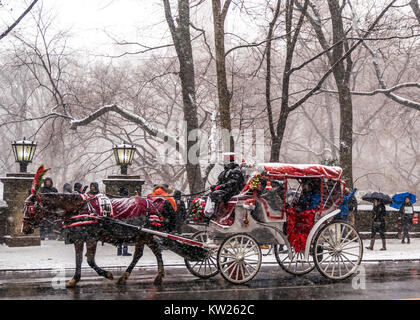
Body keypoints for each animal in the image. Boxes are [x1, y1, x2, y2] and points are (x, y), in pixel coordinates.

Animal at [20, 191, 172, 288]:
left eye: (31, 208)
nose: (24, 229)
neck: (78, 209)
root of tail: (152, 203)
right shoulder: (79, 238)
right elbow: (79, 259)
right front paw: (74, 280)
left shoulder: (91, 238)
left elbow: (90, 260)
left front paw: (107, 274)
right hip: (146, 235)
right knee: (156, 250)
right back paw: (159, 276)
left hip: (142, 234)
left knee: (139, 254)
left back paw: (124, 277)